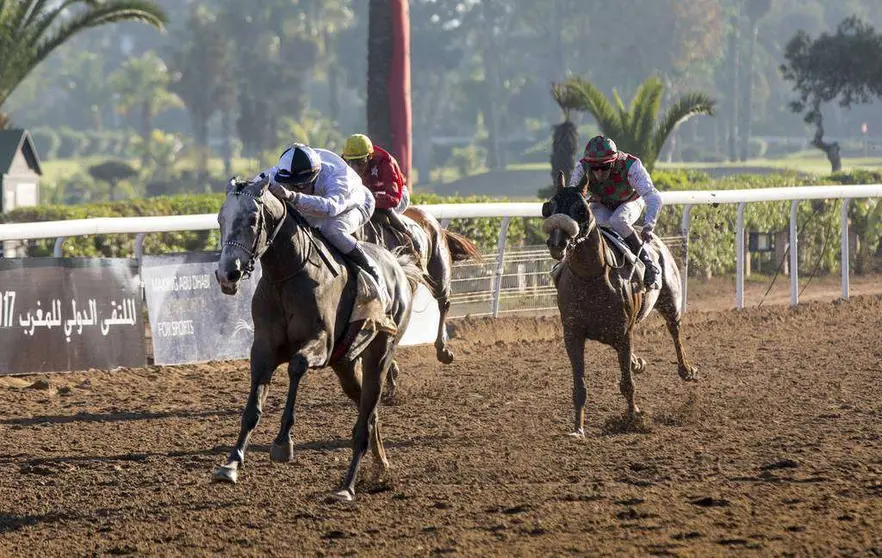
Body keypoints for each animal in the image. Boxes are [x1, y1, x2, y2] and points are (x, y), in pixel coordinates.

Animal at [211, 179, 422, 504]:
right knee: (369, 412)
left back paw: (347, 486)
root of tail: (398, 266)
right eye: (221, 219)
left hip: (380, 354)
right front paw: (231, 464)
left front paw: (283, 443)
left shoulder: (321, 343)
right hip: (345, 365)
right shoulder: (263, 349)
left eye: (253, 219)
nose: (227, 274)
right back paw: (381, 467)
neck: (287, 276)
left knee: (364, 419)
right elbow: (252, 409)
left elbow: (296, 366)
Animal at [540, 172, 696, 438]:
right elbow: (579, 386)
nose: (557, 243)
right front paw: (578, 429)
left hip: (670, 300)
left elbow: (627, 384)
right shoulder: (573, 334)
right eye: (549, 208)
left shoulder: (623, 333)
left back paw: (685, 370)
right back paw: (638, 362)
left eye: (581, 210)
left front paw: (633, 418)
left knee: (675, 329)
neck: (590, 277)